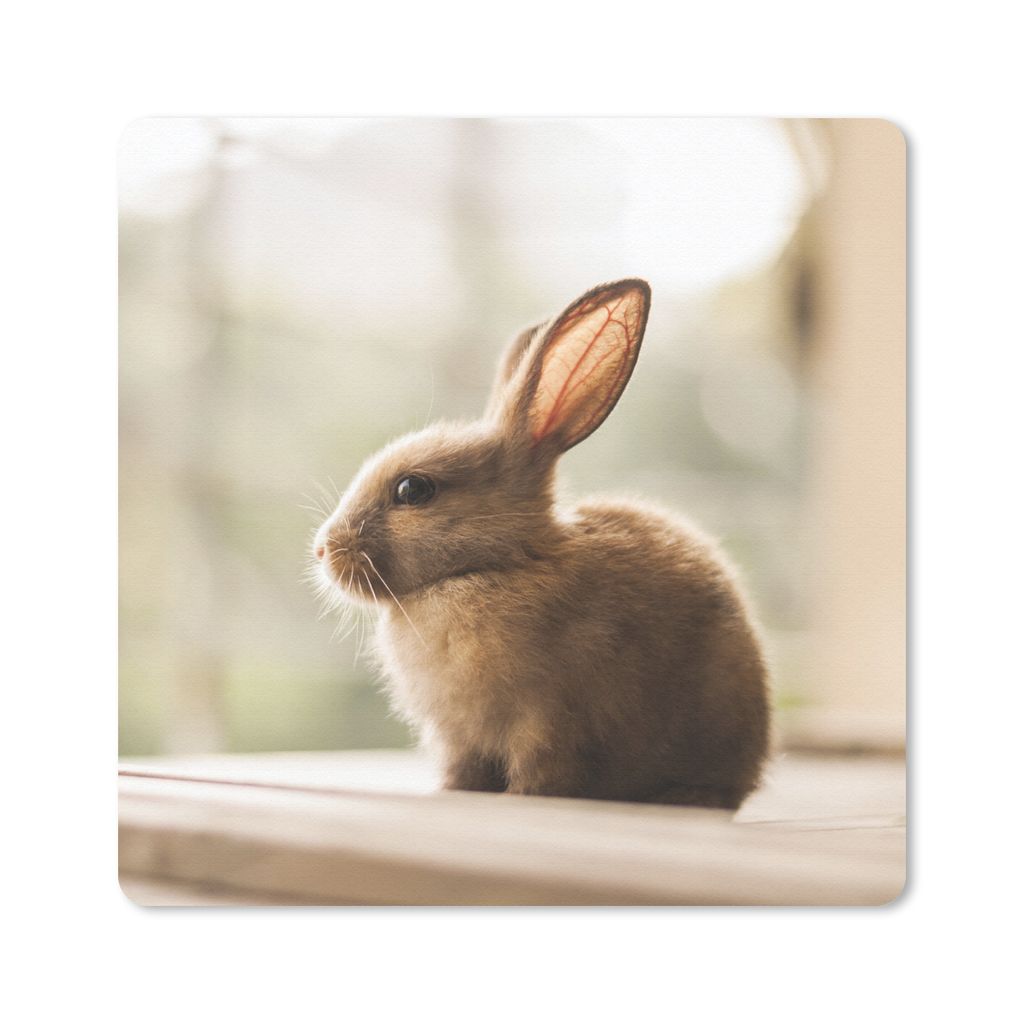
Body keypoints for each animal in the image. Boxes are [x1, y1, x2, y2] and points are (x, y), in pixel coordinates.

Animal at [313, 279, 770, 809]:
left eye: (414, 489)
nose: (323, 550)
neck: (493, 564)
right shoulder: (461, 738)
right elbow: (464, 770)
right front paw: (453, 792)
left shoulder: (548, 721)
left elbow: (543, 771)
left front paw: (523, 798)